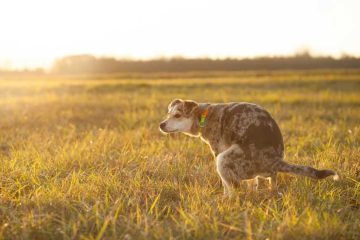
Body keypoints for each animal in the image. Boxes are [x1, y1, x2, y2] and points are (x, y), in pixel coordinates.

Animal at [159, 99, 338, 195]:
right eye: (168, 114)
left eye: (177, 115)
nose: (161, 125)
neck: (204, 116)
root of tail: (274, 159)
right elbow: (253, 184)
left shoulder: (218, 152)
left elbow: (226, 186)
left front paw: (224, 198)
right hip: (267, 174)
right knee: (272, 184)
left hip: (224, 159)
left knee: (235, 189)